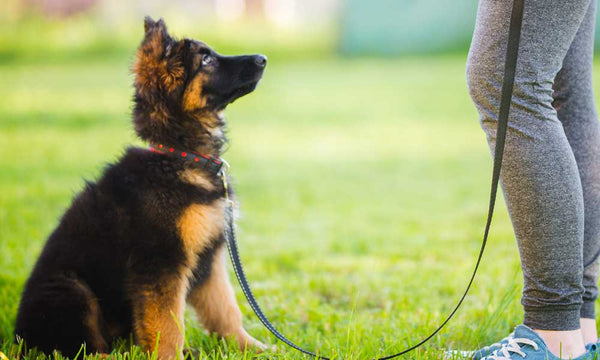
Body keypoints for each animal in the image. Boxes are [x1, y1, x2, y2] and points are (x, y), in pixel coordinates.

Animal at [14, 16, 268, 358]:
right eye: (206, 60)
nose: (263, 59)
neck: (178, 156)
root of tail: (19, 337)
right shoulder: (161, 262)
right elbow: (168, 325)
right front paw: (171, 356)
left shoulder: (209, 257)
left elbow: (225, 308)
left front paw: (251, 346)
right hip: (72, 290)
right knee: (79, 346)